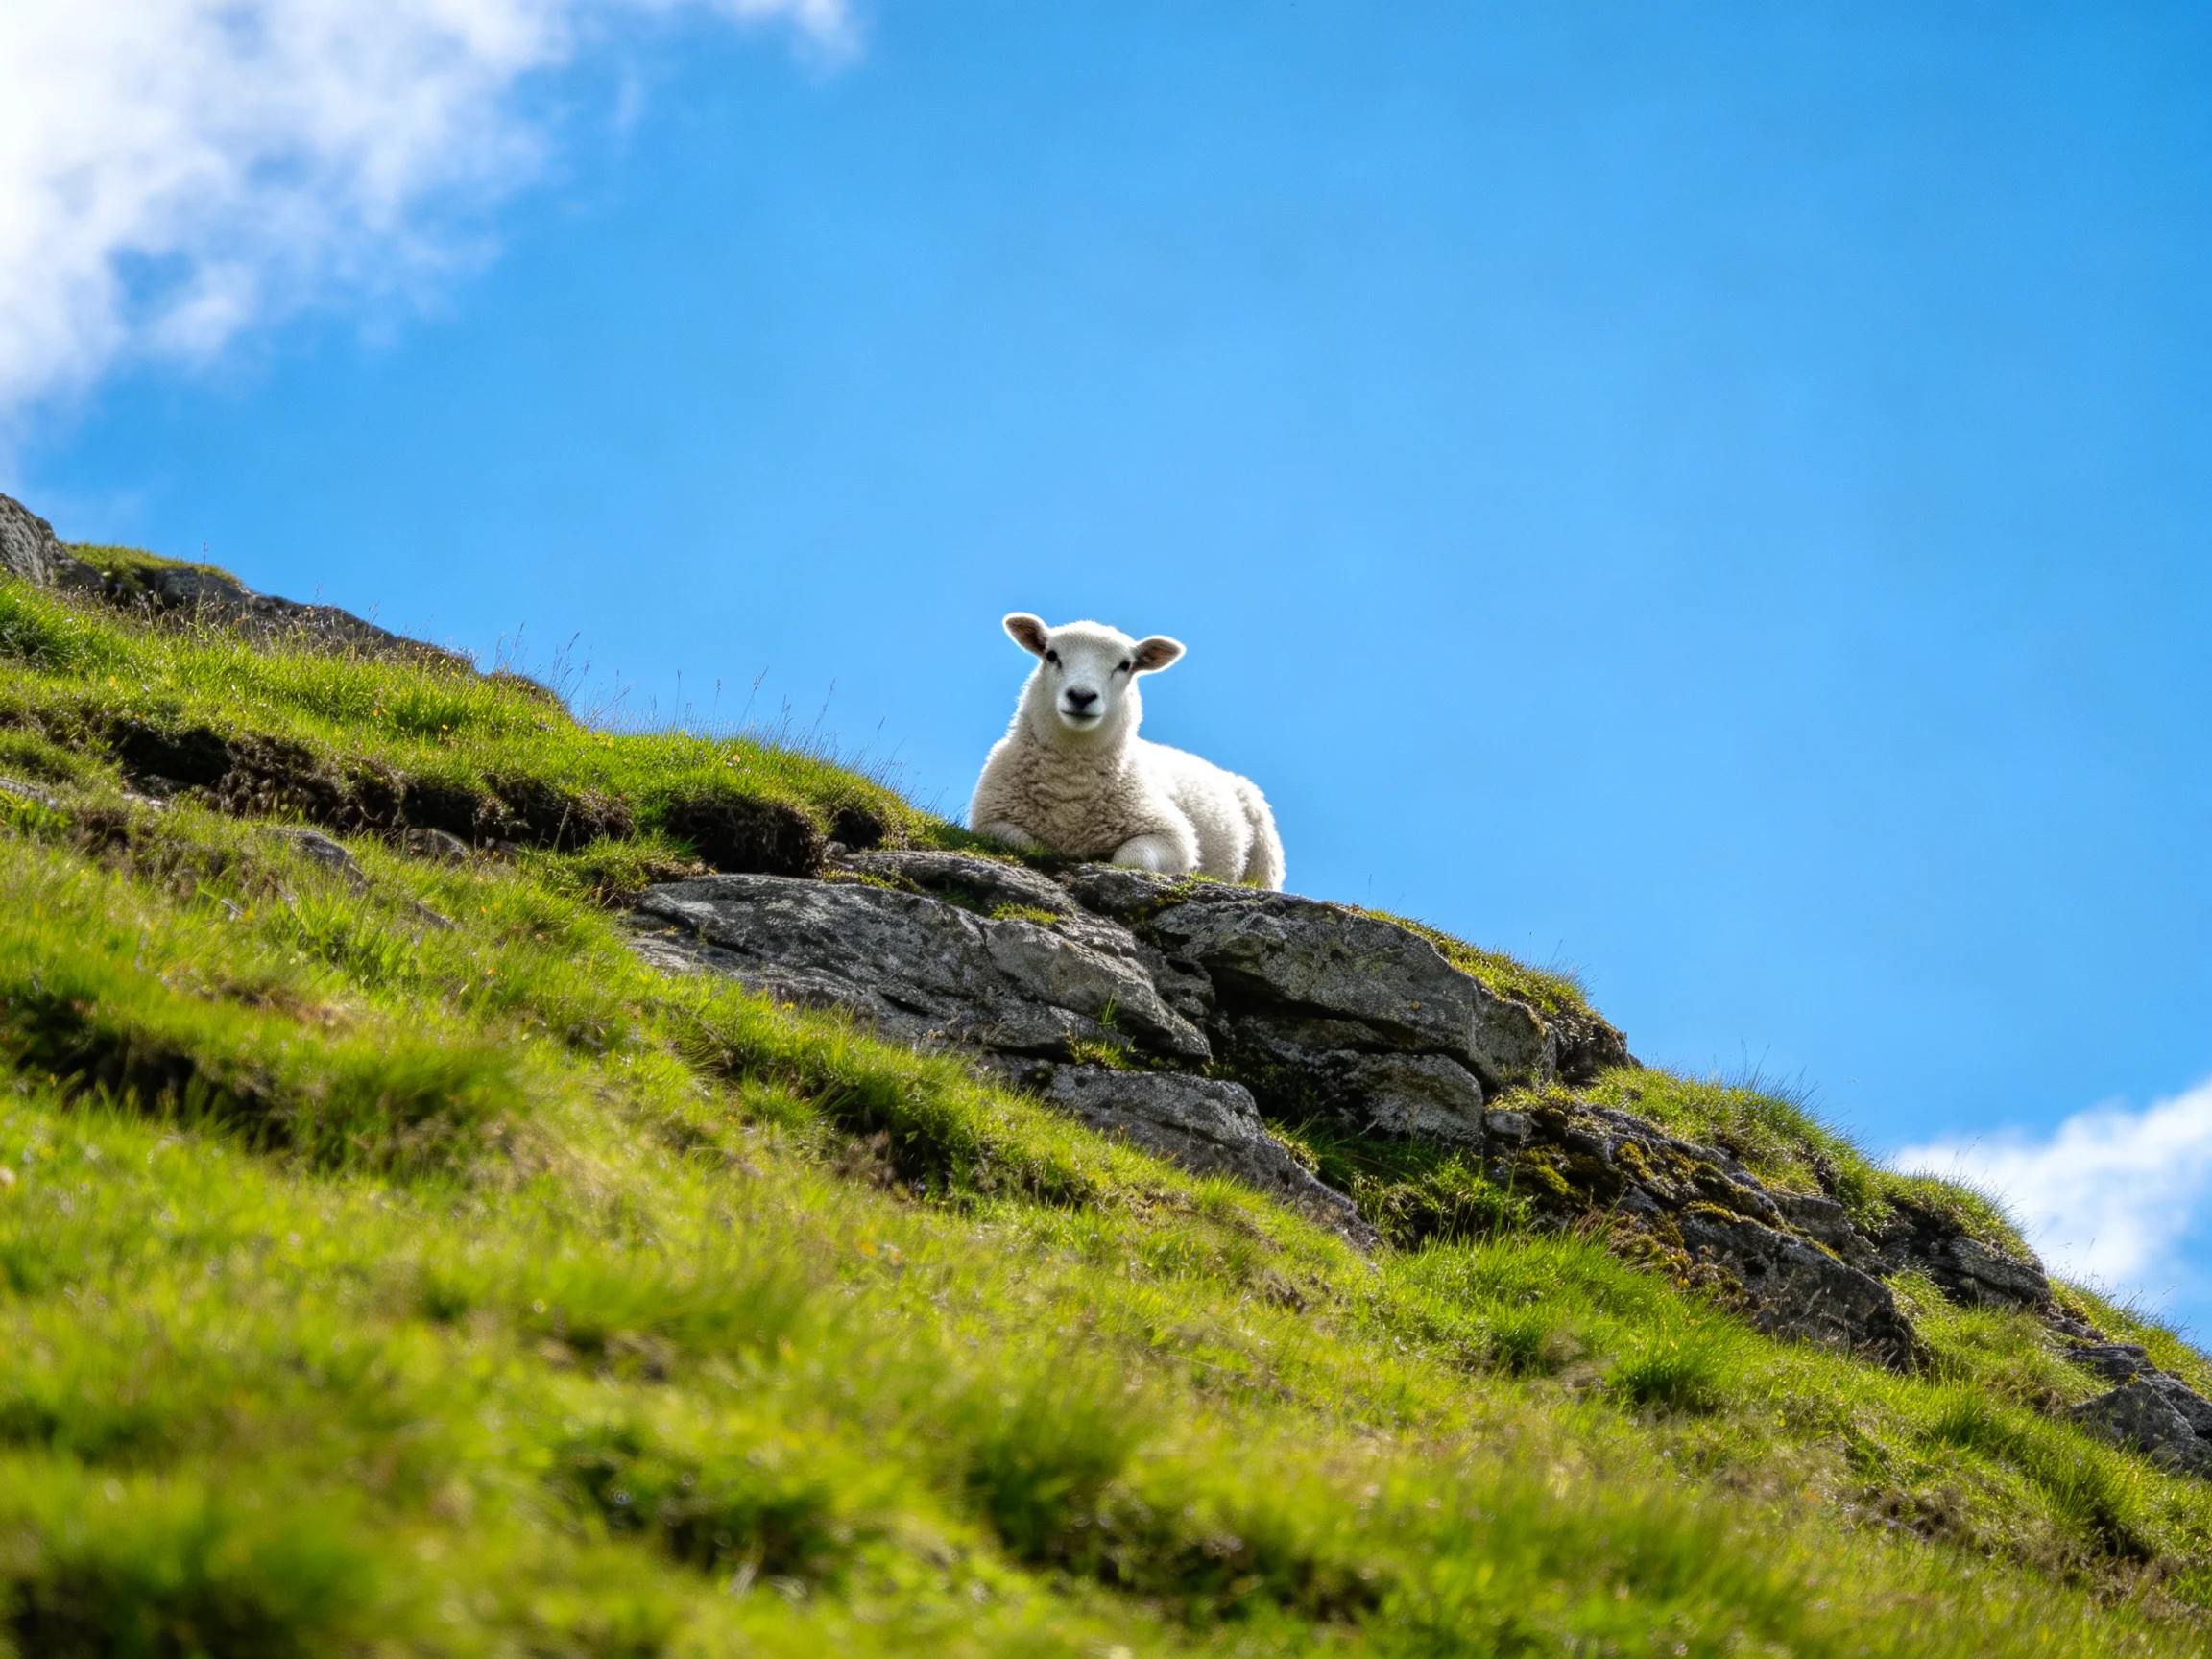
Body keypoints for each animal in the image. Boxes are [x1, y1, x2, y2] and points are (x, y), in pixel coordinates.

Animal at [968, 613, 1285, 890]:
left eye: (1125, 665)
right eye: (1051, 655)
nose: (1081, 696)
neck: (1071, 786)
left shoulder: (1172, 835)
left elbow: (1132, 859)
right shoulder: (990, 822)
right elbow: (1025, 845)